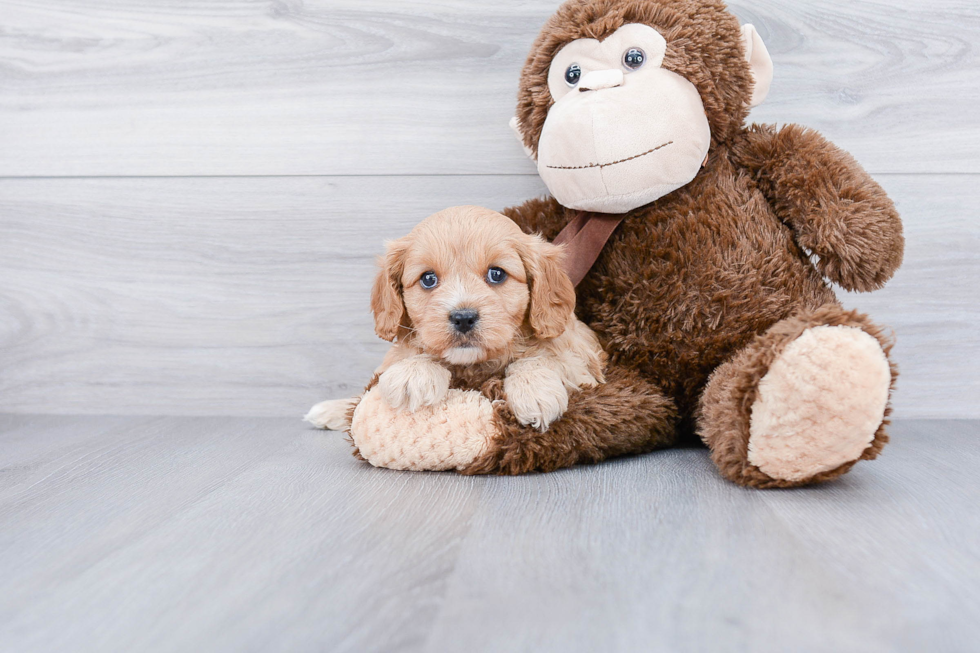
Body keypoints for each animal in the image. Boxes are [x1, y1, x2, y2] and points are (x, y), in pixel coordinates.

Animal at [306, 206, 604, 432]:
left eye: (497, 274)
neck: (474, 366)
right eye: (428, 279)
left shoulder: (583, 366)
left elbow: (543, 358)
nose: (463, 318)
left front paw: (534, 390)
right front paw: (413, 373)